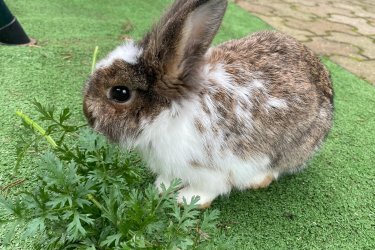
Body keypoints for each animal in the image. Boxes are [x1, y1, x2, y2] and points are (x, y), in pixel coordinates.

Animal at [83, 0, 334, 207]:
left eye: (120, 93)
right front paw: (161, 188)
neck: (171, 112)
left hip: (295, 146)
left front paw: (187, 200)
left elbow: (209, 188)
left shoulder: (216, 169)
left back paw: (258, 180)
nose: (88, 114)